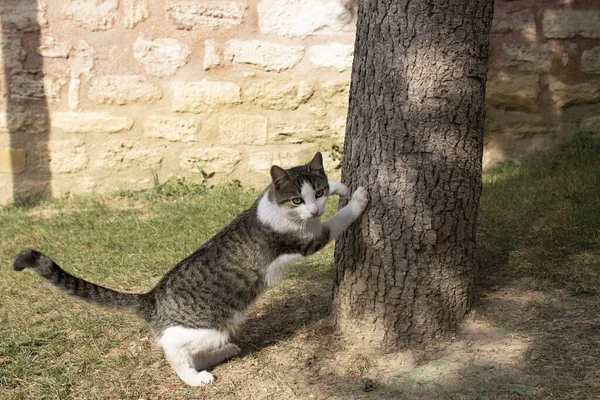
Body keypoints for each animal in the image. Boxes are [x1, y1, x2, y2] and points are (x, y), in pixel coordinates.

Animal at [14, 152, 368, 386]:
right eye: (297, 200)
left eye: (317, 192)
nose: (314, 209)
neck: (275, 209)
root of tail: (151, 297)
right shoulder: (309, 240)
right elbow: (337, 221)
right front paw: (358, 200)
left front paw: (341, 187)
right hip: (205, 329)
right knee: (173, 349)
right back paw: (195, 378)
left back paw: (224, 352)